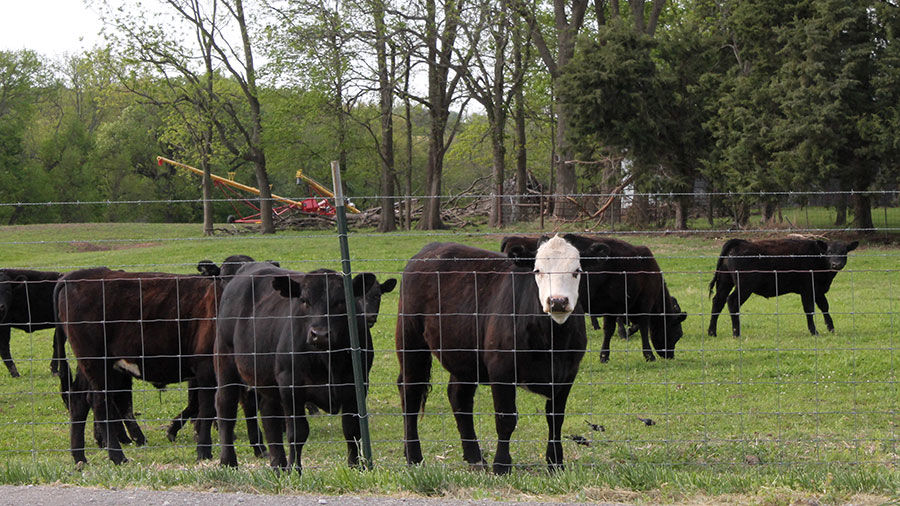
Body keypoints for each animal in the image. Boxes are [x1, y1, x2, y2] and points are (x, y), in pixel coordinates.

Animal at [214, 263, 376, 474]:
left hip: (266, 380)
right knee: (225, 407)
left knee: (269, 417)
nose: (320, 334)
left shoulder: (357, 384)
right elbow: (297, 432)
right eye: (304, 301)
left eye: (341, 302)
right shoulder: (290, 384)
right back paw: (228, 461)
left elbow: (352, 428)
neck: (328, 359)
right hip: (226, 363)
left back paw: (277, 465)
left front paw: (355, 467)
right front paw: (295, 469)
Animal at [396, 235, 592, 474]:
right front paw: (502, 465)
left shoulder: (568, 373)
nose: (557, 301)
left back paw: (474, 457)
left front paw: (555, 463)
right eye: (537, 270)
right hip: (410, 341)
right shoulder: (501, 369)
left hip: (464, 355)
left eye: (577, 270)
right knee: (411, 394)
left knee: (458, 397)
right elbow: (506, 419)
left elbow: (556, 418)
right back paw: (414, 457)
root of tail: (431, 248)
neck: (552, 342)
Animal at [501, 235, 686, 362]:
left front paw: (605, 355)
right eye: (677, 333)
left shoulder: (613, 306)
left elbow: (610, 329)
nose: (670, 355)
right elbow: (641, 327)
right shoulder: (643, 303)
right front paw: (648, 354)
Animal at [707, 237, 859, 337]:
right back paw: (736, 333)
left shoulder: (818, 290)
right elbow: (809, 310)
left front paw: (831, 328)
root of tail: (740, 242)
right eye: (829, 251)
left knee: (718, 302)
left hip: (725, 282)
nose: (836, 264)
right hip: (745, 286)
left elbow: (824, 306)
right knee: (732, 302)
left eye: (844, 251)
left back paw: (712, 332)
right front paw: (814, 331)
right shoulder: (807, 289)